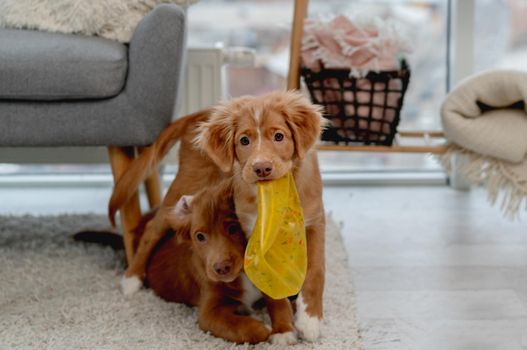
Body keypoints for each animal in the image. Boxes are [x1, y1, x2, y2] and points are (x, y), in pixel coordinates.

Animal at [146, 183, 300, 344]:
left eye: (233, 228)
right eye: (200, 236)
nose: (221, 268)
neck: (242, 274)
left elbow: (279, 301)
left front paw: (283, 330)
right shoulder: (209, 312)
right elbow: (235, 324)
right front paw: (263, 329)